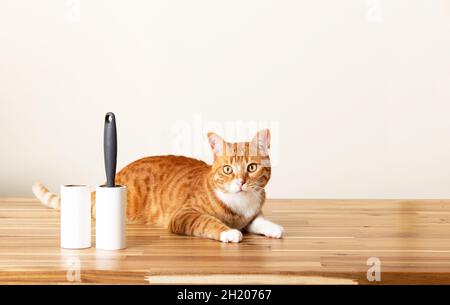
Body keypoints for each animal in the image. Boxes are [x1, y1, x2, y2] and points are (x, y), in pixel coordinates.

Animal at [32, 129, 284, 242]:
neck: (240, 203)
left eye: (251, 167)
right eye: (228, 170)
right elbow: (208, 222)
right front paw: (229, 232)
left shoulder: (251, 215)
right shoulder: (185, 215)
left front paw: (273, 228)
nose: (241, 182)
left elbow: (259, 221)